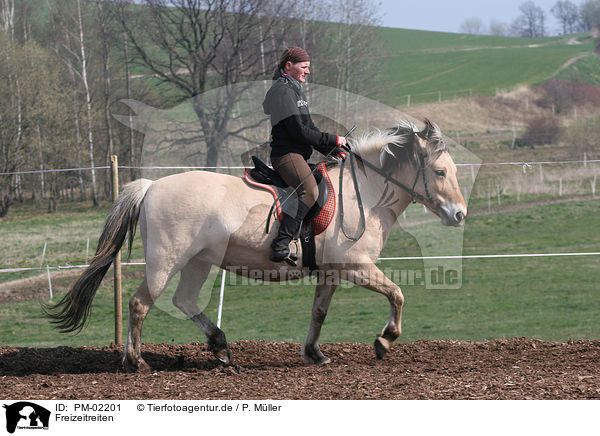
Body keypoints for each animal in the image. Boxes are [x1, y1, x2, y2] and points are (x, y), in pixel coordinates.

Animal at [48, 118, 468, 372]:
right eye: (439, 172)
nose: (460, 215)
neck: (362, 191)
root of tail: (151, 186)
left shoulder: (331, 272)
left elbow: (319, 313)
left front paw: (315, 354)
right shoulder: (356, 266)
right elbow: (397, 294)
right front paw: (384, 341)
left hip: (199, 261)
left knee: (183, 301)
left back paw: (219, 348)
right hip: (166, 261)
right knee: (140, 304)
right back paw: (138, 363)